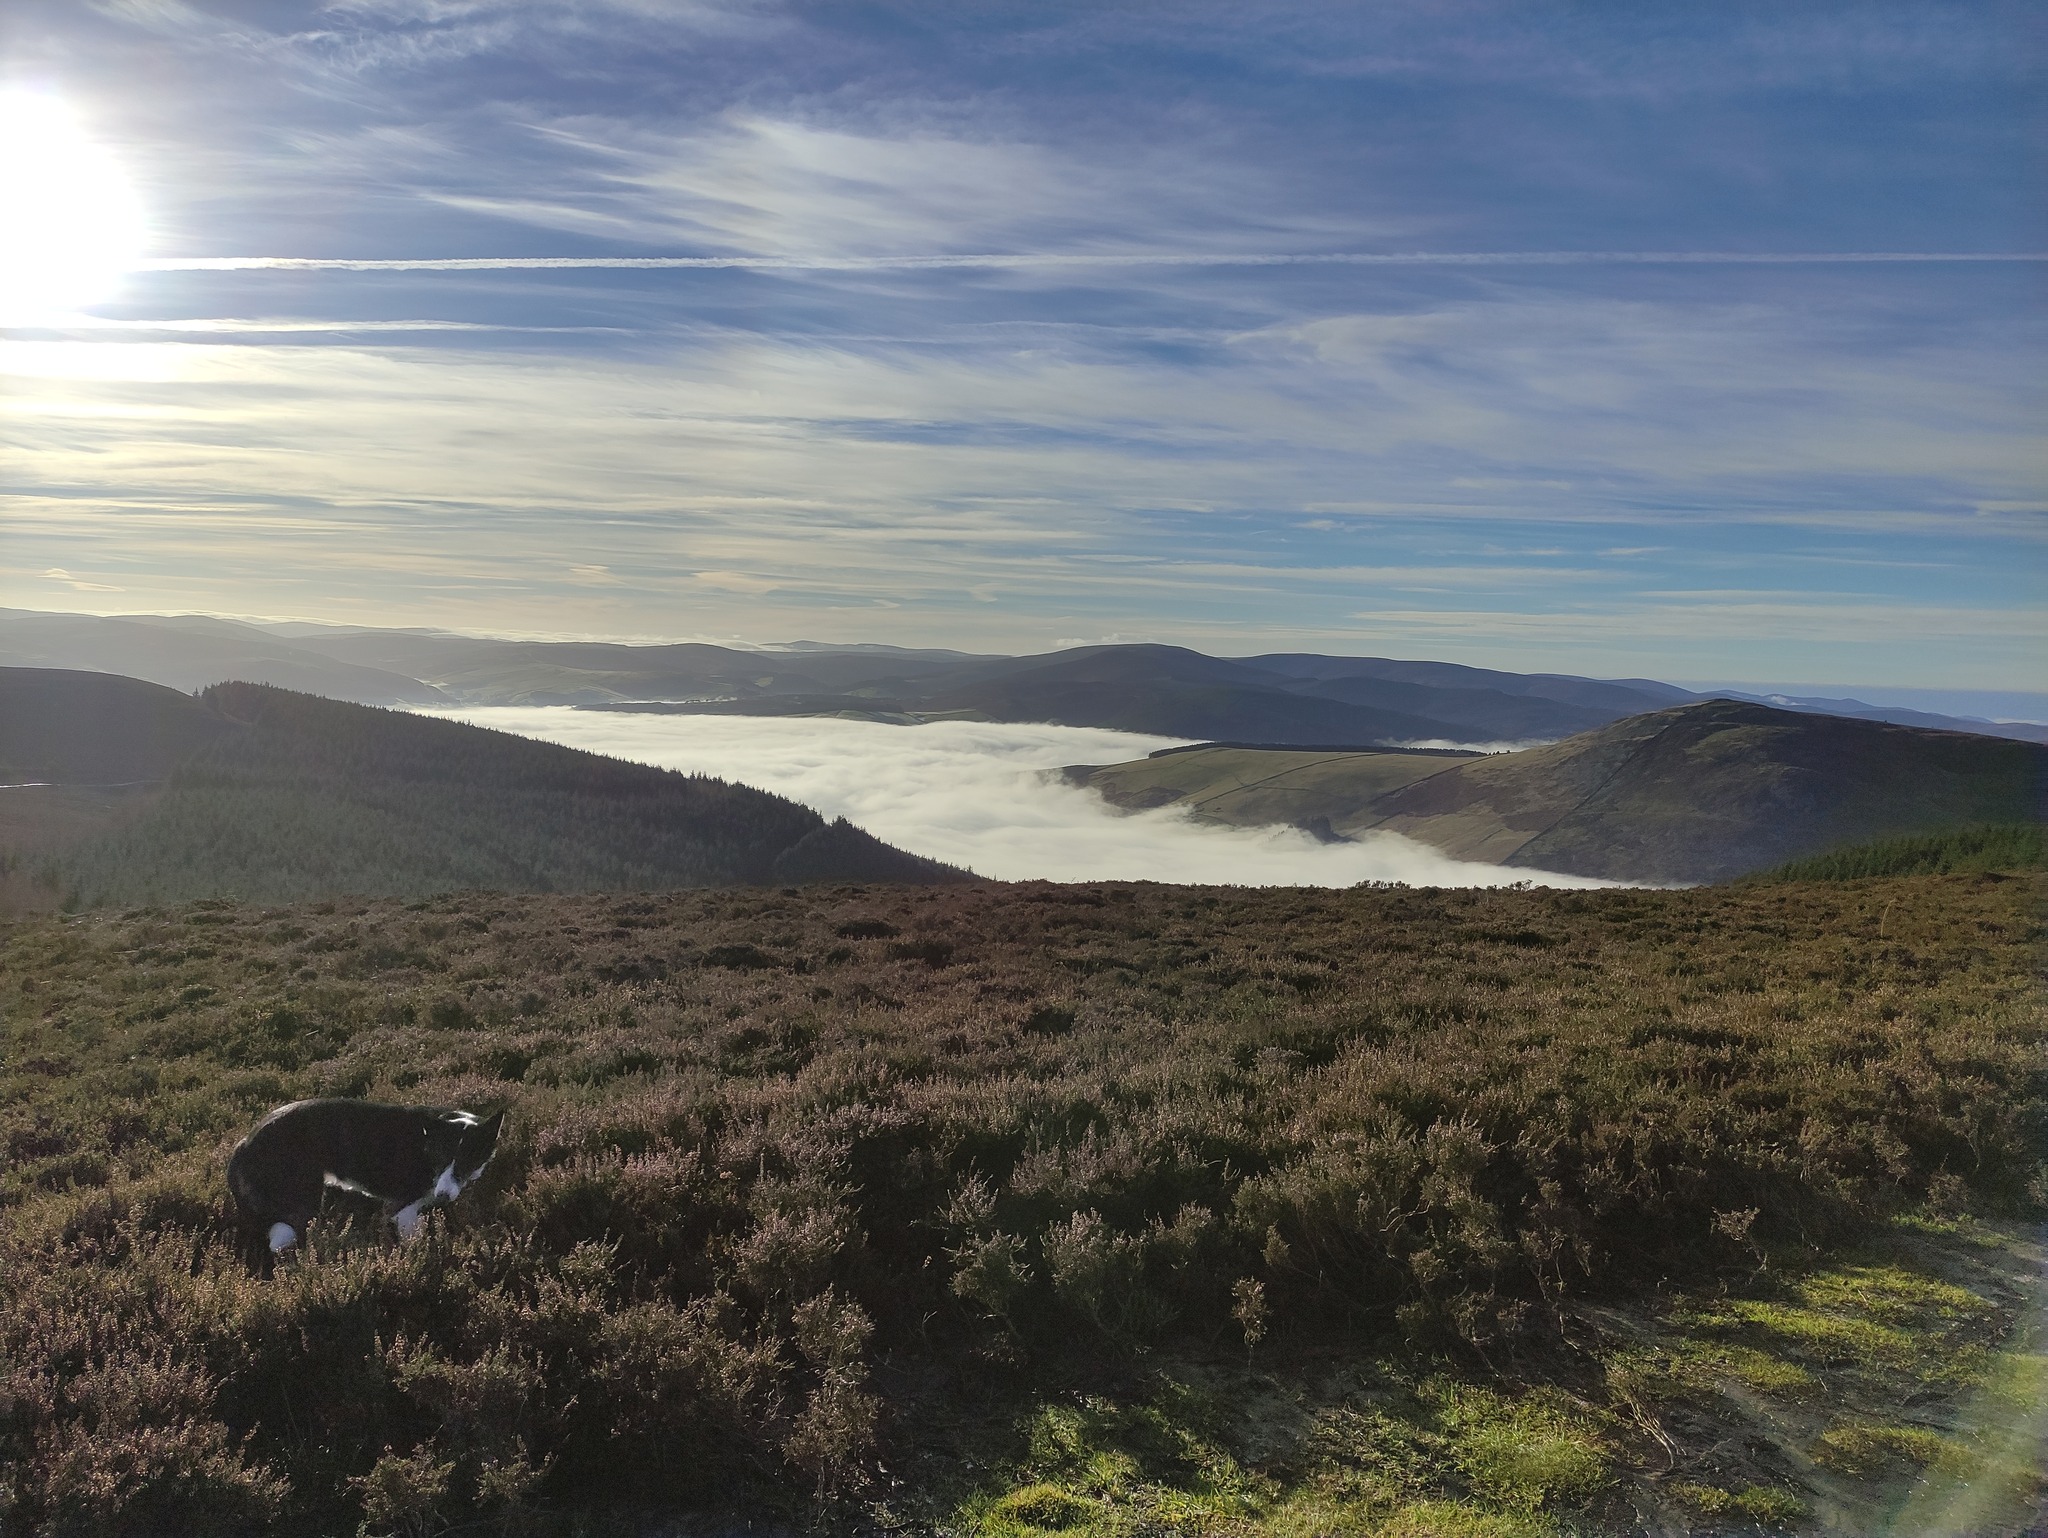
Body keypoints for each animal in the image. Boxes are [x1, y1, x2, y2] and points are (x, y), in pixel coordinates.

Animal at [228, 1097, 503, 1253]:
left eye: (467, 1161)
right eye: (441, 1159)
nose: (444, 1196)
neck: (426, 1143)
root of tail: (243, 1145)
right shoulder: (401, 1209)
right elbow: (415, 1243)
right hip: (301, 1205)